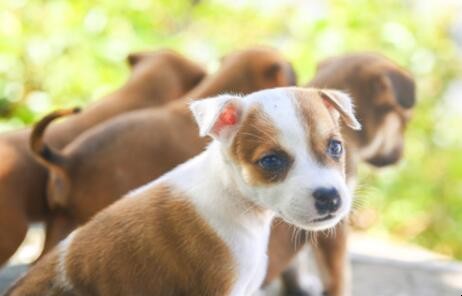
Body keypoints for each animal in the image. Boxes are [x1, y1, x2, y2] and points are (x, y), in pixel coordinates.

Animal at [262, 53, 416, 296]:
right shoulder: (334, 223)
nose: (400, 157)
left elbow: (295, 264)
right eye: (405, 121)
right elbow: (339, 274)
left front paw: (298, 286)